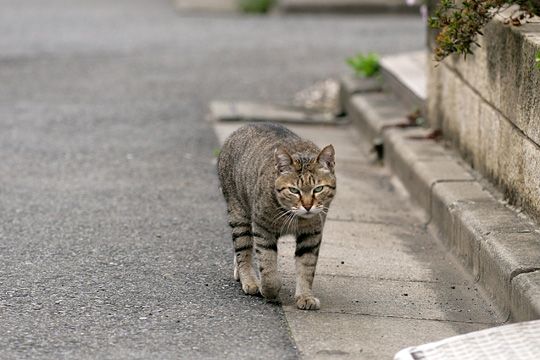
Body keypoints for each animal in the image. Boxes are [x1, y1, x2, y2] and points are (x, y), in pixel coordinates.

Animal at [217, 123, 336, 310]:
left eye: (318, 189)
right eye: (294, 190)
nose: (307, 206)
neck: (294, 217)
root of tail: (242, 127)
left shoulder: (312, 233)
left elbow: (306, 266)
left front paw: (305, 296)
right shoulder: (262, 229)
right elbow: (267, 265)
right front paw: (269, 290)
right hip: (239, 213)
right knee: (243, 249)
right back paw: (249, 280)